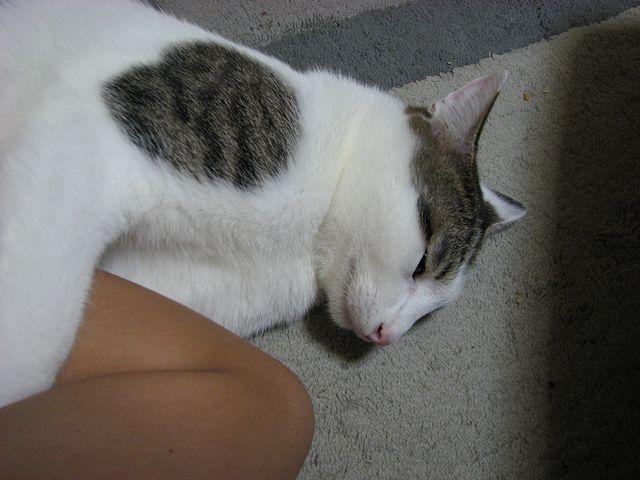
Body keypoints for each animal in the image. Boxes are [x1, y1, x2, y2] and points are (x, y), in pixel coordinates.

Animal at [0, 0, 525, 406]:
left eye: (429, 313)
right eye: (421, 263)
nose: (387, 335)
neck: (300, 248)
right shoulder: (86, 132)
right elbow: (36, 333)